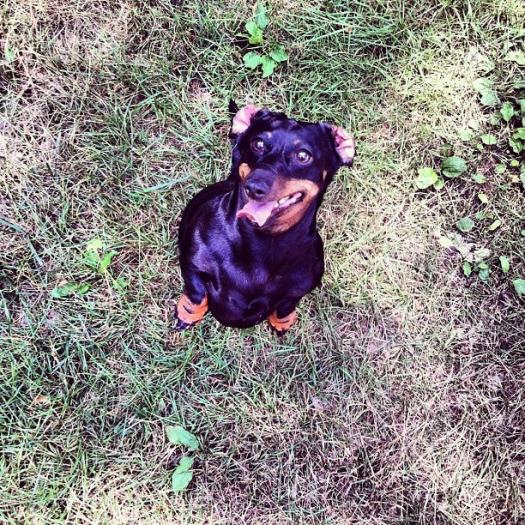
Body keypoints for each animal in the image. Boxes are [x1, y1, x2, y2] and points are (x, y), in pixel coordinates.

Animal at [175, 102, 355, 334]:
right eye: (258, 143)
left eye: (303, 156)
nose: (254, 186)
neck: (262, 240)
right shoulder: (192, 264)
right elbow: (196, 294)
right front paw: (187, 314)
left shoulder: (299, 289)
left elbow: (285, 307)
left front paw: (282, 322)